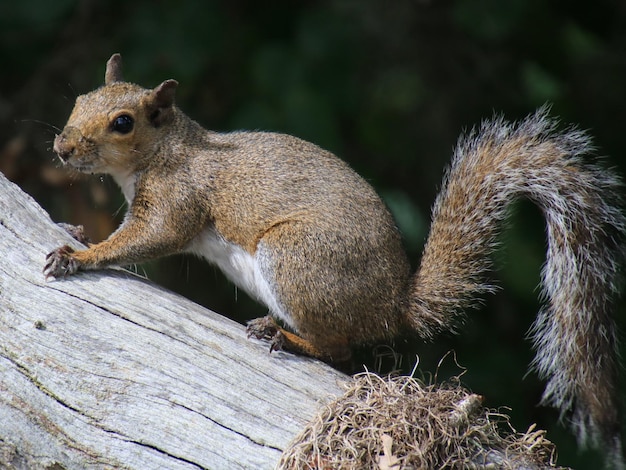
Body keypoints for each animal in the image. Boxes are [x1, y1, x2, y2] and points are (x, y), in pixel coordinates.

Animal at [46, 55, 620, 466]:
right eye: (78, 98)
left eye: (123, 122)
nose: (62, 148)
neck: (166, 149)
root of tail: (392, 306)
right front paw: (75, 231)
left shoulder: (178, 199)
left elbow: (147, 238)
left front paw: (80, 255)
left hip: (296, 258)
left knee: (339, 349)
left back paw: (282, 334)